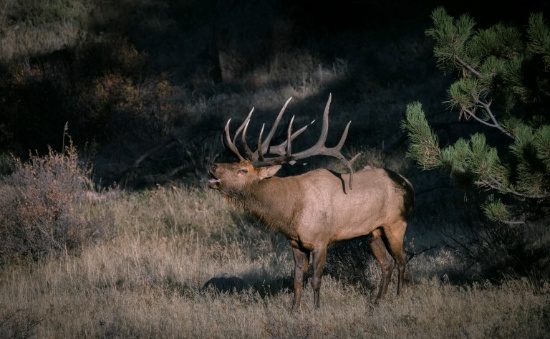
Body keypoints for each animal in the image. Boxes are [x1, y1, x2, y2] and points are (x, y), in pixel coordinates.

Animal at [208, 94, 414, 310]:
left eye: (243, 170)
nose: (213, 167)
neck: (290, 214)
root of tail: (410, 186)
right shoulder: (296, 244)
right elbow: (297, 280)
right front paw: (294, 309)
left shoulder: (321, 240)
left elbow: (316, 279)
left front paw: (316, 308)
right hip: (373, 232)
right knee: (387, 263)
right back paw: (377, 301)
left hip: (396, 224)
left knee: (402, 259)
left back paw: (399, 296)